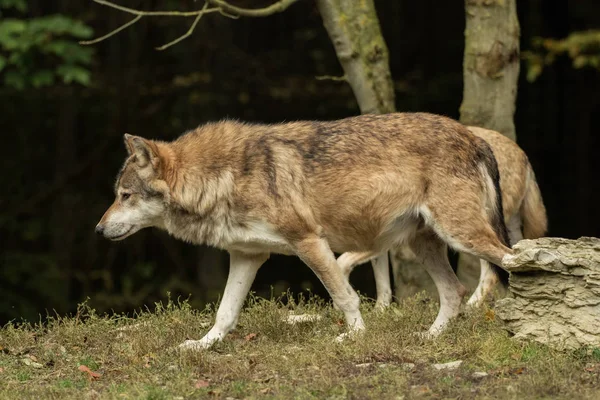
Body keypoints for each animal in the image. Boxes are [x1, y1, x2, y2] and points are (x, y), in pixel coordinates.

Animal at [96, 113, 512, 350]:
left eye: (124, 195)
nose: (98, 230)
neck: (223, 176)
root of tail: (477, 138)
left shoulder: (309, 242)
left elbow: (345, 298)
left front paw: (354, 337)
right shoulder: (247, 256)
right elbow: (225, 312)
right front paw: (203, 345)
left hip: (462, 234)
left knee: (510, 259)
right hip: (425, 244)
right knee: (454, 290)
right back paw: (430, 337)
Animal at [338, 126, 548, 308]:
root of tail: (522, 153)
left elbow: (342, 265)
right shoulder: (376, 240)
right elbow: (383, 287)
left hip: (469, 231)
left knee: (493, 271)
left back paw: (470, 309)